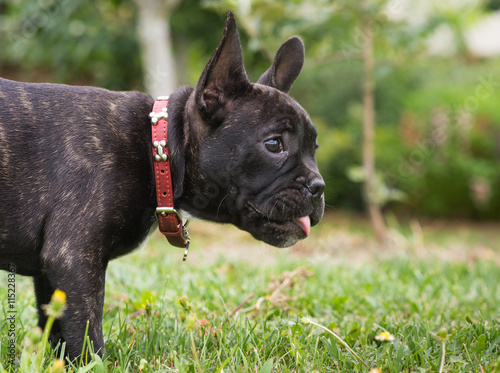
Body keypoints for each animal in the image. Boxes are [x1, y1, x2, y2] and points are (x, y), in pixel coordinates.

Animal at [0, 11, 324, 360]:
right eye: (274, 145)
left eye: (314, 149)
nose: (319, 186)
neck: (156, 148)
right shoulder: (74, 260)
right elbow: (87, 335)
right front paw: (95, 363)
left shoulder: (52, 276)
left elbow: (57, 329)